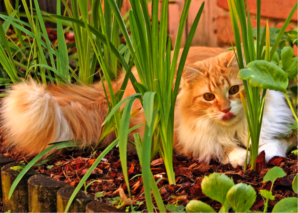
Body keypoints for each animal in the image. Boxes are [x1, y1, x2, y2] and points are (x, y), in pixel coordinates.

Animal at [0, 47, 296, 168]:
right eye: (209, 97)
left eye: (234, 90)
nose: (225, 109)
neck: (234, 129)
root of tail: (120, 83)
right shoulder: (188, 138)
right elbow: (222, 148)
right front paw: (242, 156)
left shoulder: (284, 127)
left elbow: (272, 144)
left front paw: (261, 153)